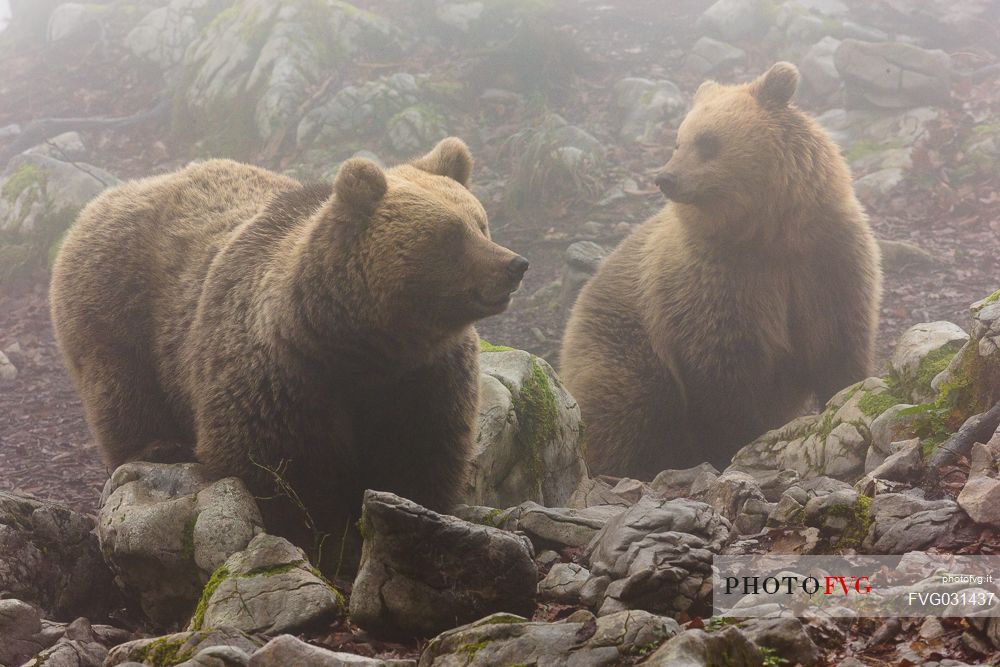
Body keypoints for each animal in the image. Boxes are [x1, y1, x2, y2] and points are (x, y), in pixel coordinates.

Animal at [52, 138, 532, 572]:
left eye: (481, 222)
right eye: (451, 234)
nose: (515, 264)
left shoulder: (423, 378)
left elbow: (419, 454)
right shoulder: (282, 377)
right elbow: (282, 472)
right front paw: (327, 543)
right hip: (118, 308)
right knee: (123, 392)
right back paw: (158, 447)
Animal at [564, 62, 884, 478]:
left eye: (707, 141)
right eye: (678, 141)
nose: (666, 178)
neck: (770, 236)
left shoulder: (826, 261)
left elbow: (840, 343)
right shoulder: (715, 283)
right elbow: (724, 375)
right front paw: (737, 445)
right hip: (623, 349)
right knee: (626, 407)